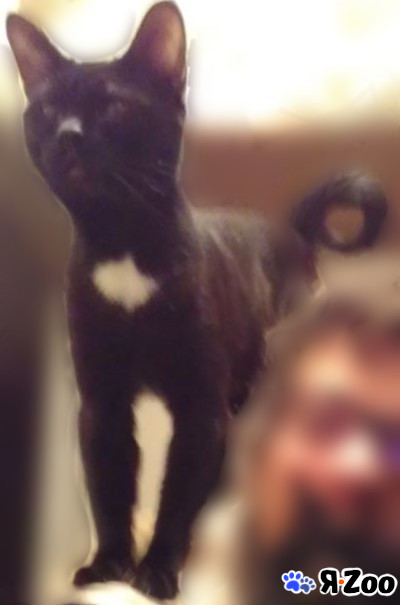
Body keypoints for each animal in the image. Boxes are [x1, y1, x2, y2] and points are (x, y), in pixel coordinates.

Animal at [6, 2, 387, 599]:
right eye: (47, 110)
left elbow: (178, 492)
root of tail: (289, 231)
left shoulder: (198, 405)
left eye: (113, 105)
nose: (67, 134)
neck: (125, 251)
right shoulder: (103, 402)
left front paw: (158, 570)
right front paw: (108, 565)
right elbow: (109, 488)